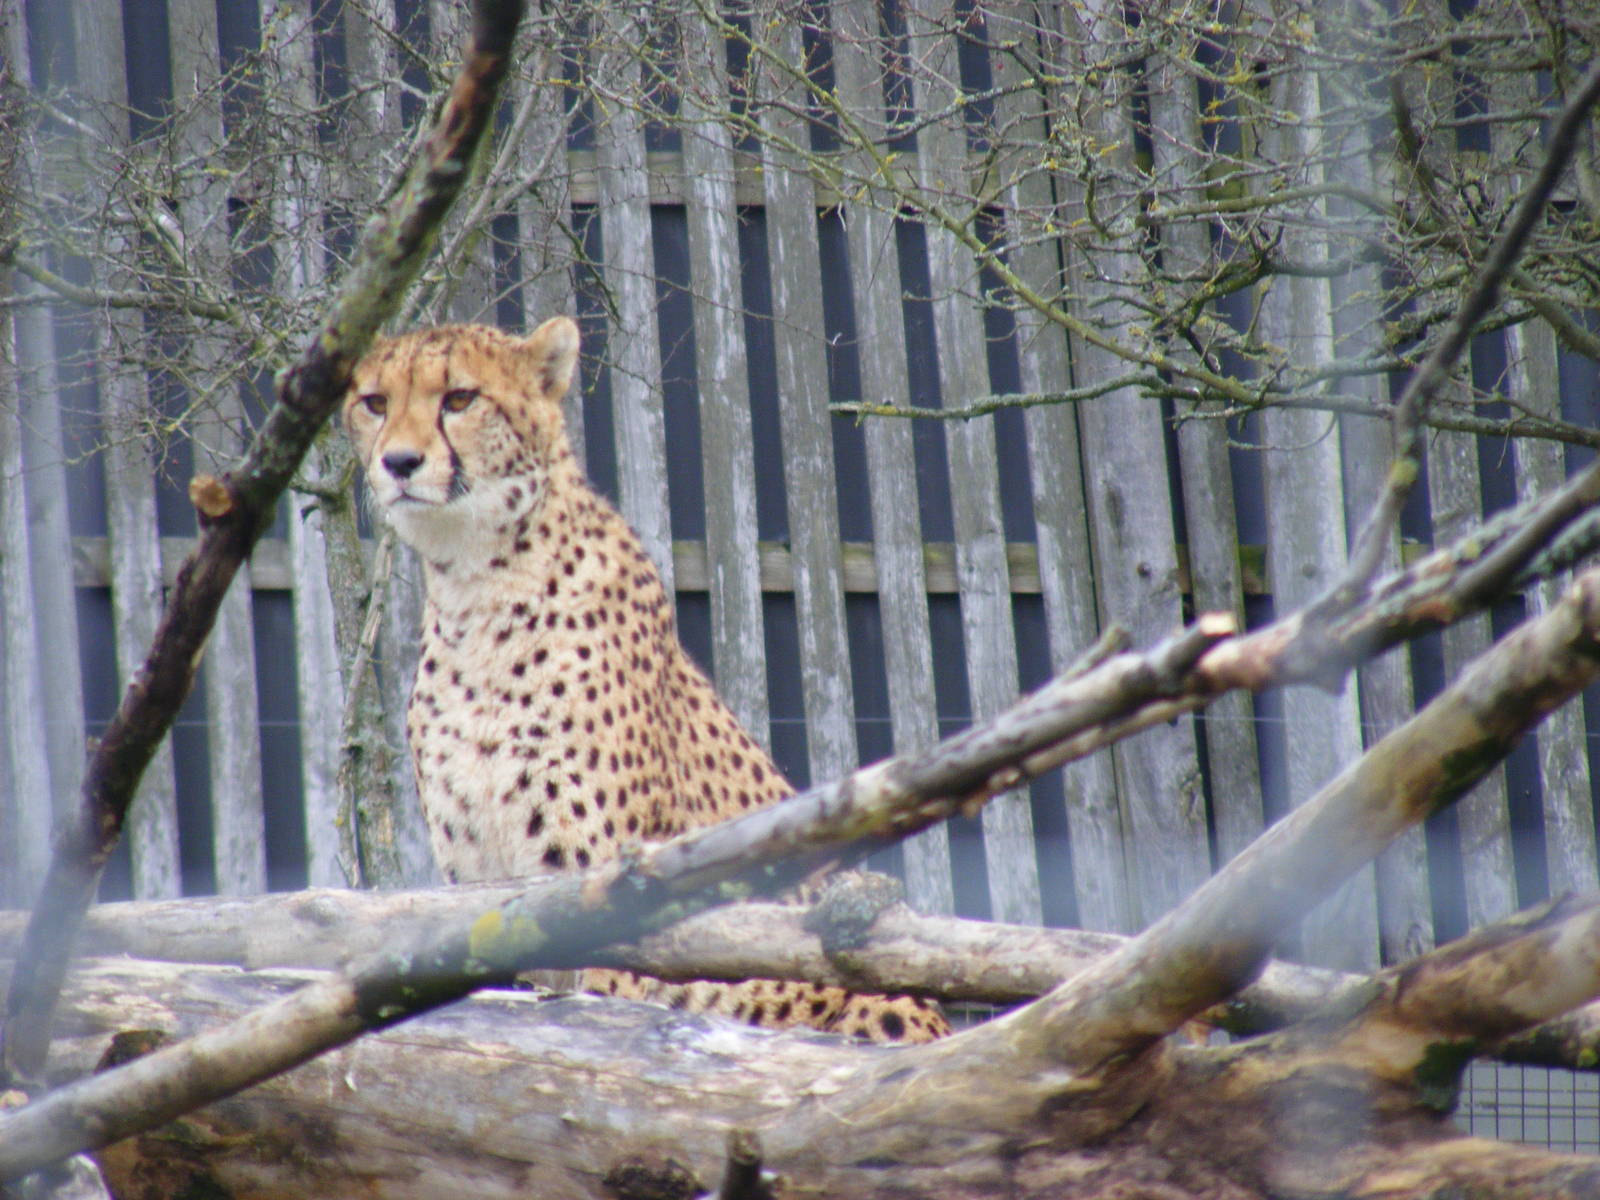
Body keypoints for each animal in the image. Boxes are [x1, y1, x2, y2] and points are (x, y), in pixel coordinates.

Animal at [343, 316, 948, 1044]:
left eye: (459, 398)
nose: (398, 463)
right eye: (375, 403)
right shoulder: (478, 895)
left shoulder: (604, 902)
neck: (478, 587)